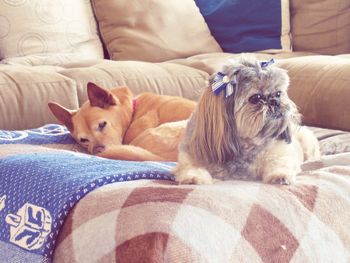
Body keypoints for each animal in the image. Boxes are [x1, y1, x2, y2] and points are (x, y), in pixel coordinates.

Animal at [174, 55, 322, 186]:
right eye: (256, 98)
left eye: (279, 93)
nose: (274, 101)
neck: (245, 145)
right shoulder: (191, 156)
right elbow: (190, 167)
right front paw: (193, 177)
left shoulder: (280, 152)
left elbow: (279, 162)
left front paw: (280, 175)